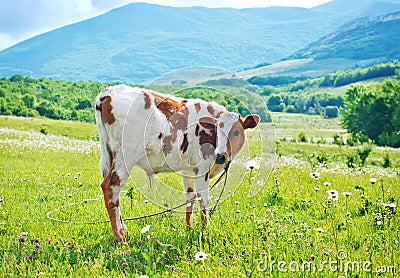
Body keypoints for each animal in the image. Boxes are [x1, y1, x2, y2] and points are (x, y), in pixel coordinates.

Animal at [94, 85, 260, 243]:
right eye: (217, 132)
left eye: (237, 132)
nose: (220, 156)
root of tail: (107, 92)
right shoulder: (202, 169)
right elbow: (203, 198)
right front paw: (205, 229)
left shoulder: (189, 170)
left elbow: (190, 197)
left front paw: (189, 228)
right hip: (126, 156)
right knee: (111, 187)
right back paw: (121, 239)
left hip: (110, 154)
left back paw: (124, 231)